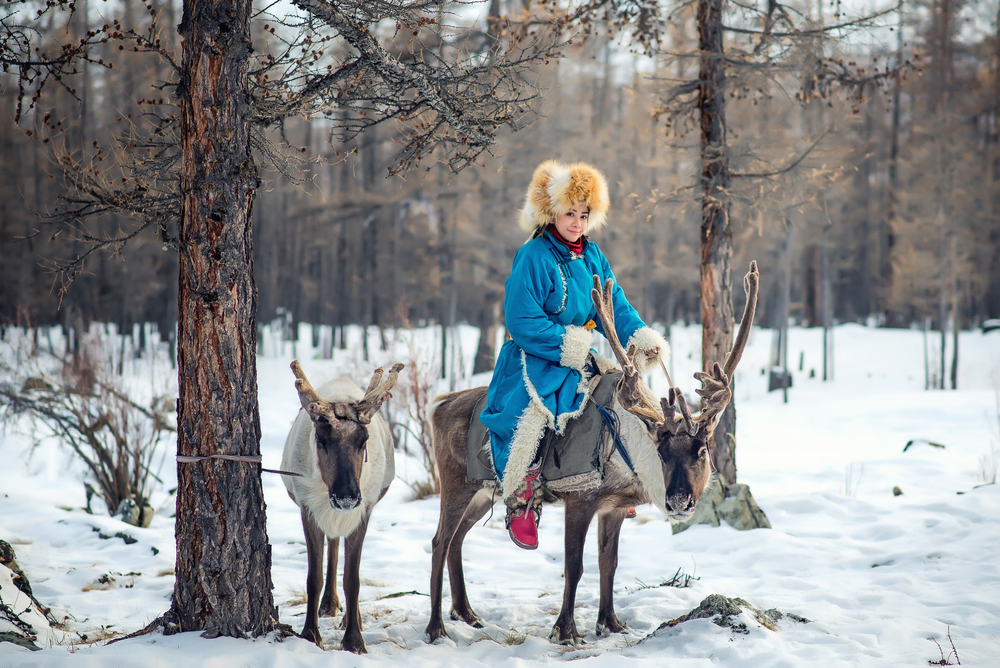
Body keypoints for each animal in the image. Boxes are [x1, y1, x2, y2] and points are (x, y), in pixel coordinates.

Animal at [281, 360, 404, 654]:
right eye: (320, 440)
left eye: (363, 441)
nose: (346, 496)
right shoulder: (308, 509)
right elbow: (313, 578)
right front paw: (310, 634)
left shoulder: (363, 511)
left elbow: (353, 579)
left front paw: (354, 639)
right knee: (334, 544)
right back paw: (329, 604)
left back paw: (351, 617)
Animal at [424, 261, 759, 645]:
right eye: (661, 451)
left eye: (701, 450)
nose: (678, 501)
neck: (629, 455)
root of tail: (438, 405)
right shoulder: (580, 499)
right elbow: (575, 565)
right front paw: (565, 630)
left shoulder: (614, 507)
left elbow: (608, 563)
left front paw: (610, 623)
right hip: (455, 484)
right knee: (439, 541)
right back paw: (436, 627)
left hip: (482, 491)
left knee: (457, 541)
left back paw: (466, 613)